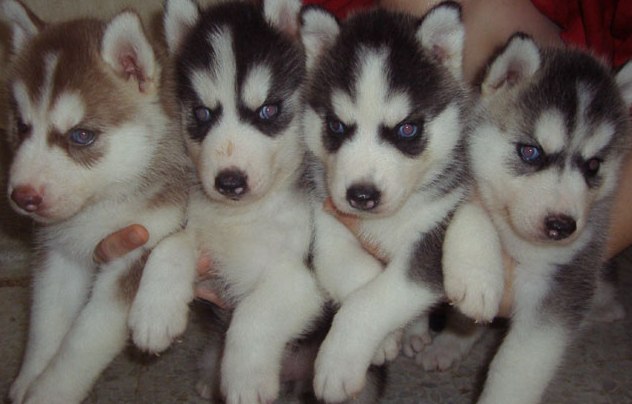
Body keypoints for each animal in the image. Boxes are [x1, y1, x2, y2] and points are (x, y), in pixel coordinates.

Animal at [1, 1, 191, 402]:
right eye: (22, 127)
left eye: (81, 135)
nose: (23, 197)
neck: (104, 202)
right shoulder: (58, 253)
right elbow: (46, 325)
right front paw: (29, 379)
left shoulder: (136, 251)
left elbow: (81, 343)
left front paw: (47, 392)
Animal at [162, 0, 326, 400]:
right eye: (202, 113)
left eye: (267, 110)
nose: (230, 182)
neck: (246, 216)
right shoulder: (202, 232)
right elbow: (171, 245)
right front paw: (153, 313)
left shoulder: (306, 277)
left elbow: (255, 311)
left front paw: (245, 380)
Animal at [302, 2, 504, 400]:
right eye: (336, 126)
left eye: (407, 129)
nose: (361, 195)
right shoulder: (328, 230)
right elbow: (359, 280)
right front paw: (382, 343)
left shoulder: (429, 249)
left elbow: (371, 300)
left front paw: (336, 363)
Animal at [454, 36, 632, 402]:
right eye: (531, 152)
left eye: (594, 165)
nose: (562, 226)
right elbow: (472, 208)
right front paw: (477, 278)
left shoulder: (567, 279)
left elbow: (520, 364)